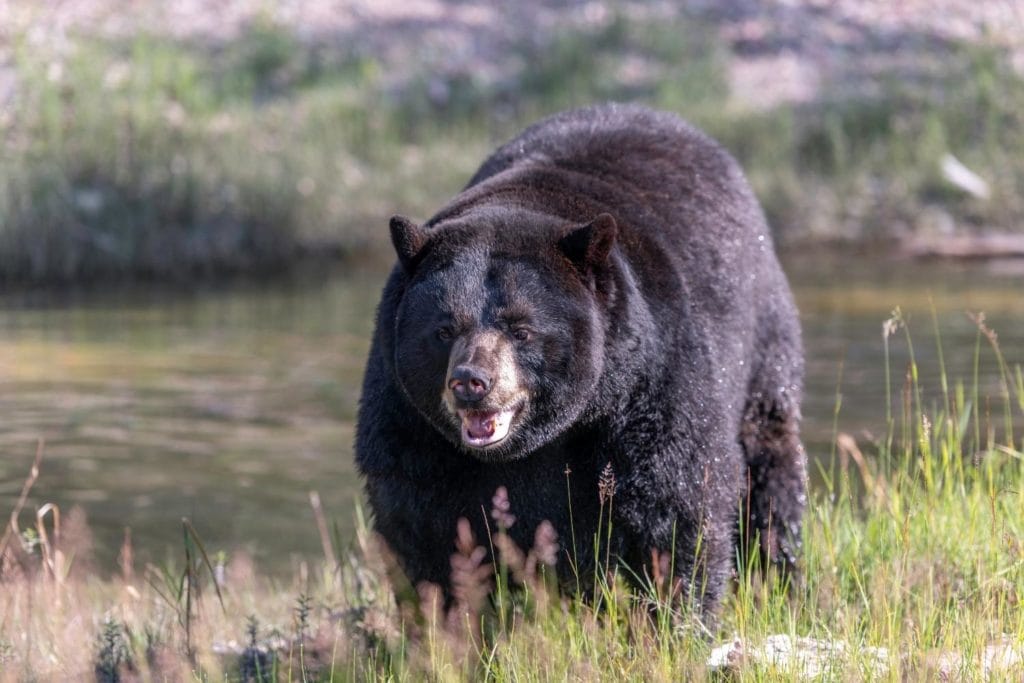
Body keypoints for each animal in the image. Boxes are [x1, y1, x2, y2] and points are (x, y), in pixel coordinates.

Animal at [355, 103, 807, 617]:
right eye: (444, 329)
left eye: (522, 329)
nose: (472, 382)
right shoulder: (410, 423)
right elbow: (422, 528)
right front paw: (445, 621)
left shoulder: (649, 385)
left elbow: (678, 503)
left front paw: (675, 617)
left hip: (763, 341)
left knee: (768, 463)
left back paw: (778, 572)